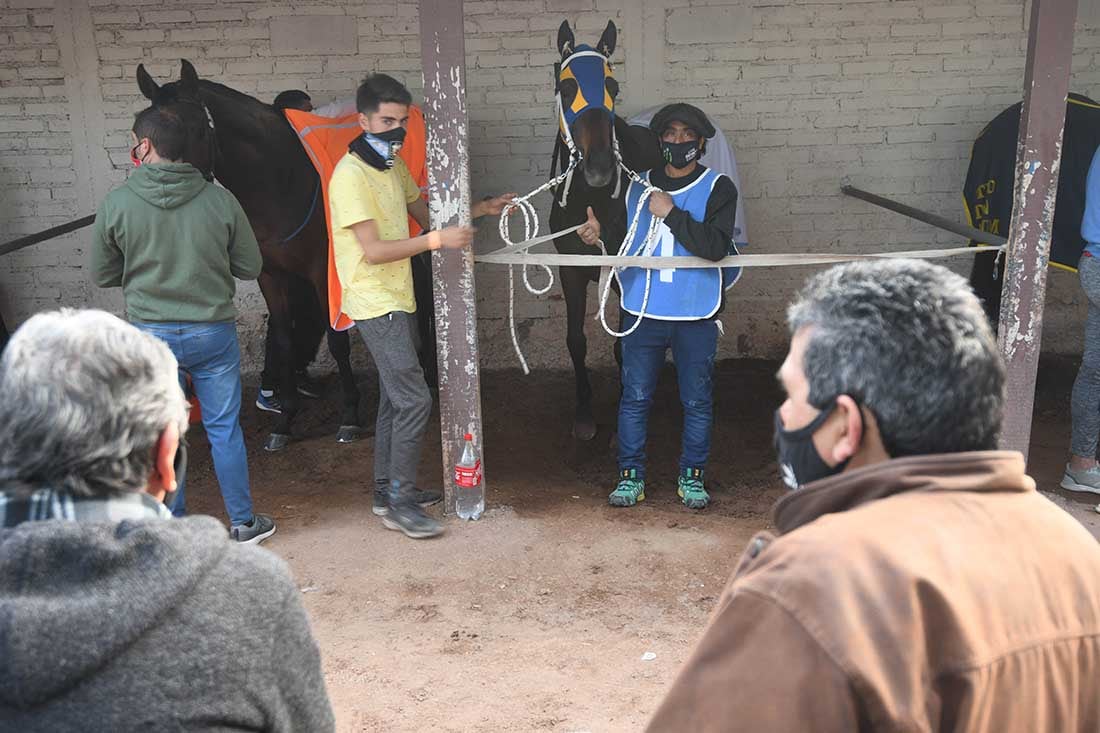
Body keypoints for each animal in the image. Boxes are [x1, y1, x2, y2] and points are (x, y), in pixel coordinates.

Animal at [547, 19, 660, 435]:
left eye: (612, 87)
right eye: (567, 89)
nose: (598, 168)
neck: (591, 198)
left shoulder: (625, 269)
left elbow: (626, 343)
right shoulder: (571, 270)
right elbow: (575, 340)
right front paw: (584, 412)